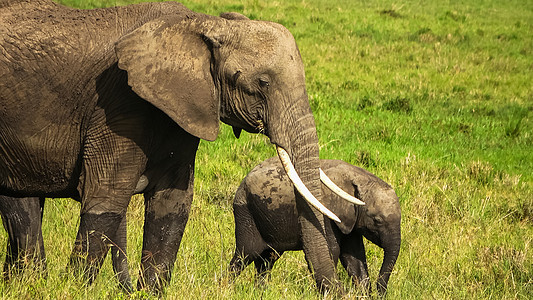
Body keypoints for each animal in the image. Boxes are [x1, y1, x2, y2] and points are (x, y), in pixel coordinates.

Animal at [2, 0, 354, 292]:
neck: (202, 24)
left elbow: (172, 203)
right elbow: (107, 198)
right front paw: (75, 289)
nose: (337, 290)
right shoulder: (117, 103)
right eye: (263, 83)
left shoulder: (183, 107)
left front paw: (149, 292)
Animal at [229, 157, 400, 296]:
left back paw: (261, 292)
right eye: (377, 220)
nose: (381, 293)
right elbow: (333, 251)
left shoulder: (350, 221)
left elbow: (354, 257)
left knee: (267, 259)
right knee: (246, 253)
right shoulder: (325, 213)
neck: (359, 177)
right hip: (246, 212)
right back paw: (228, 287)